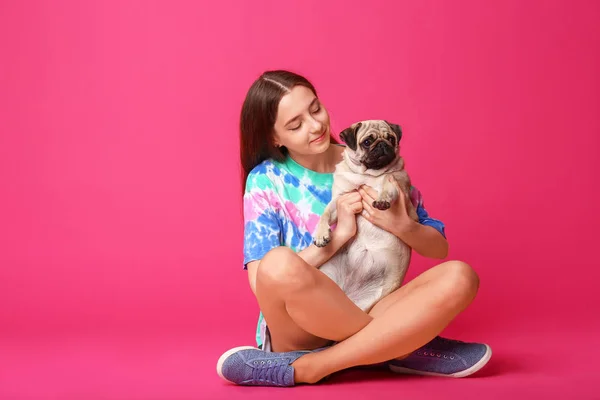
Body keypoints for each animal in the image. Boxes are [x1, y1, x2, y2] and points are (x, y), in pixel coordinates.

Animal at [314, 119, 418, 312]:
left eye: (391, 139)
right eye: (367, 142)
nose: (383, 145)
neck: (367, 175)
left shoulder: (396, 183)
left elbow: (386, 186)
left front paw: (382, 199)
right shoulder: (339, 200)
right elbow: (325, 215)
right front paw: (321, 235)